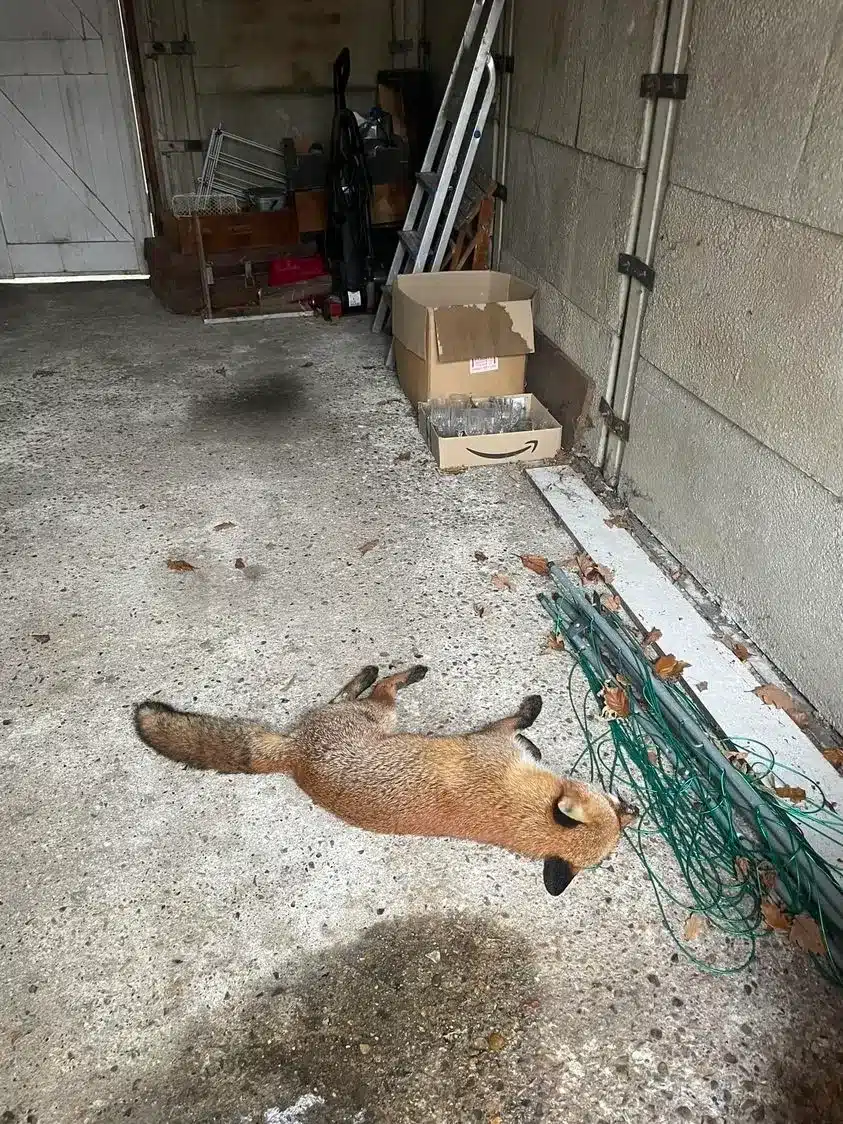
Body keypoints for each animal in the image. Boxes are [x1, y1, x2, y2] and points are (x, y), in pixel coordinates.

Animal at [133, 664, 637, 895]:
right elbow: (517, 721)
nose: (635, 808)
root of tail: (294, 757)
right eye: (613, 808)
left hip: (368, 718)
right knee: (378, 690)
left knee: (345, 695)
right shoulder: (490, 742)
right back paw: (400, 671)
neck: (521, 811)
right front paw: (533, 714)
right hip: (383, 715)